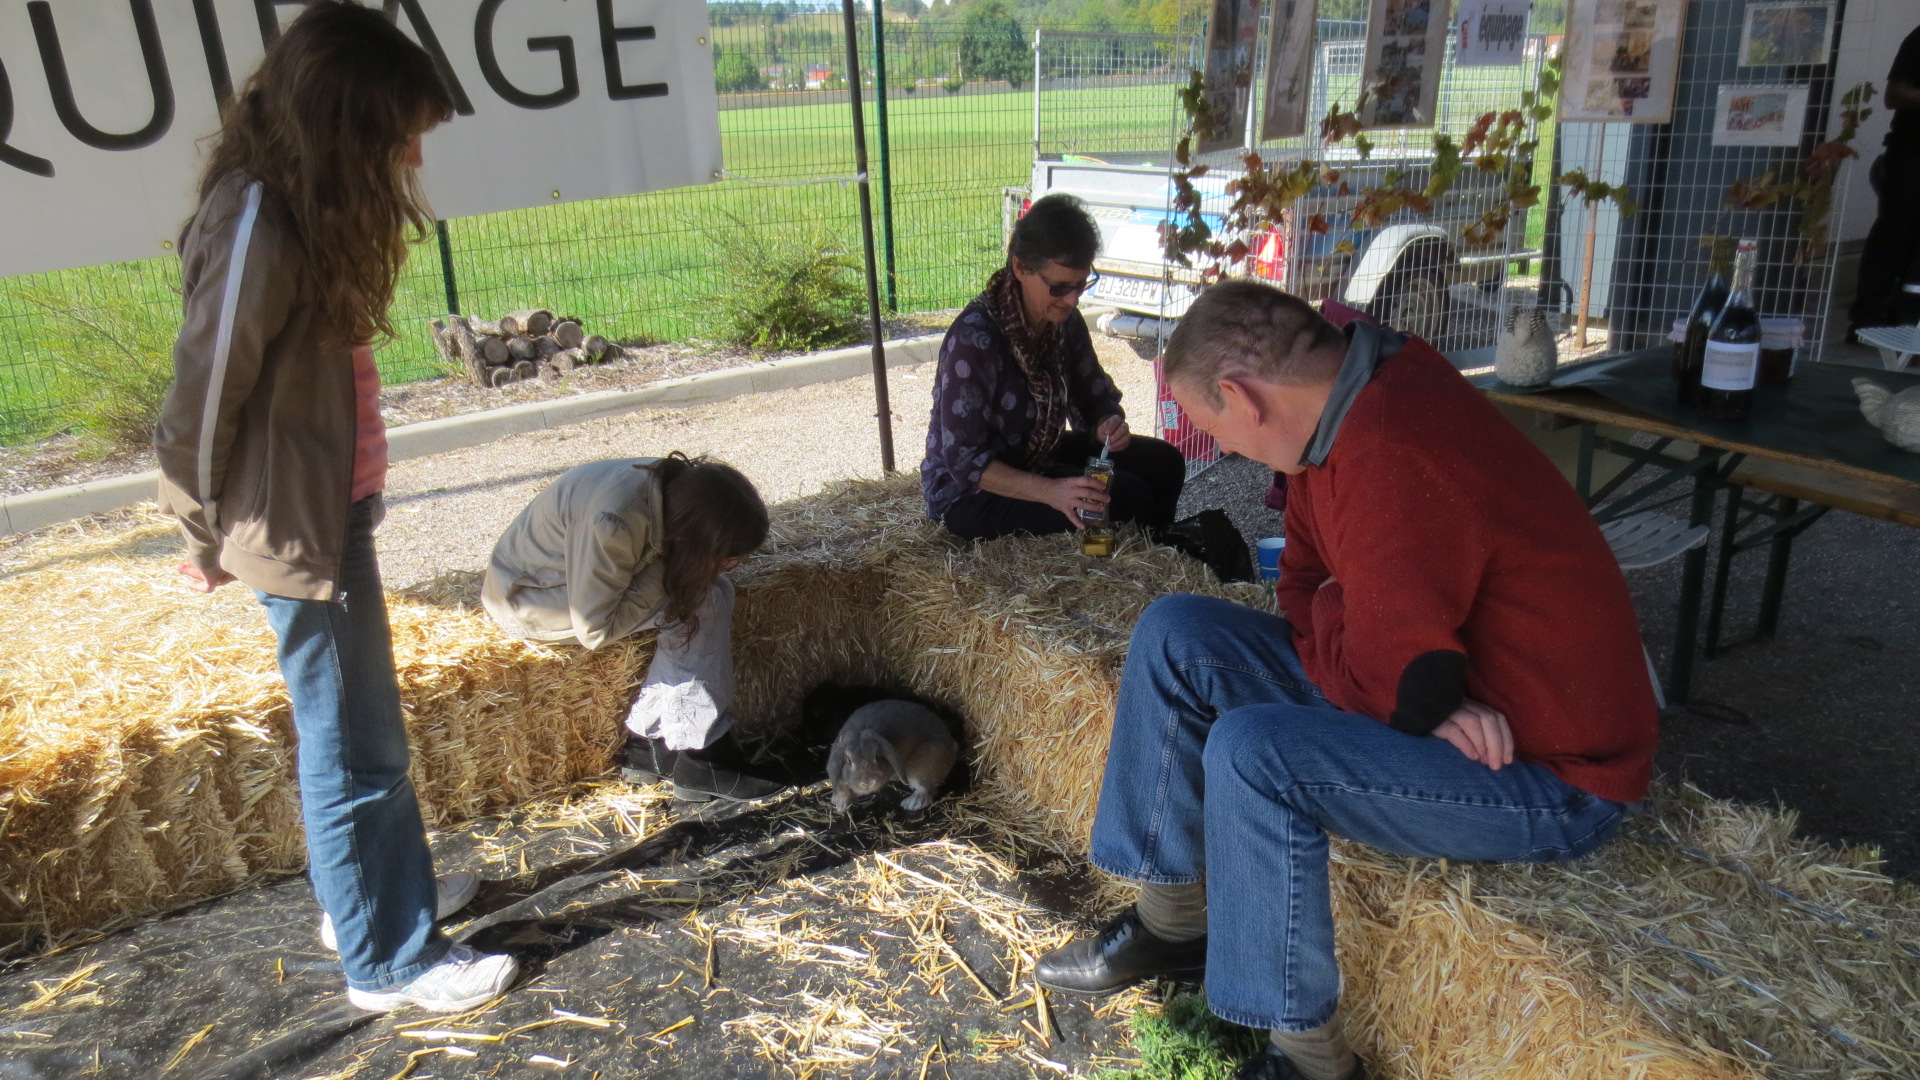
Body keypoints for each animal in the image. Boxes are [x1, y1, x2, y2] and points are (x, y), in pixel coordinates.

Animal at [825, 699, 960, 807]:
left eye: (877, 755)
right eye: (848, 760)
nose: (868, 782)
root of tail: (952, 747)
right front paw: (839, 802)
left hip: (922, 767)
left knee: (927, 789)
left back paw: (912, 803)